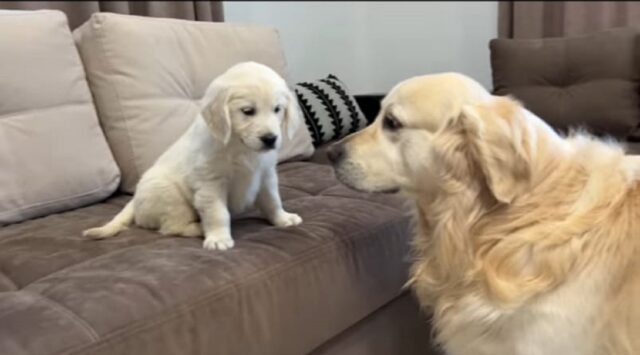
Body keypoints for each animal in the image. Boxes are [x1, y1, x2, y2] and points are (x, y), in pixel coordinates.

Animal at [84, 62, 302, 250]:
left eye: (277, 109)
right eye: (248, 111)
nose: (270, 139)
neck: (239, 147)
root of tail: (134, 201)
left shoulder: (266, 175)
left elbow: (272, 200)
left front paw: (283, 218)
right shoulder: (210, 183)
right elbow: (218, 213)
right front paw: (218, 238)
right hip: (169, 195)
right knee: (171, 227)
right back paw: (199, 228)